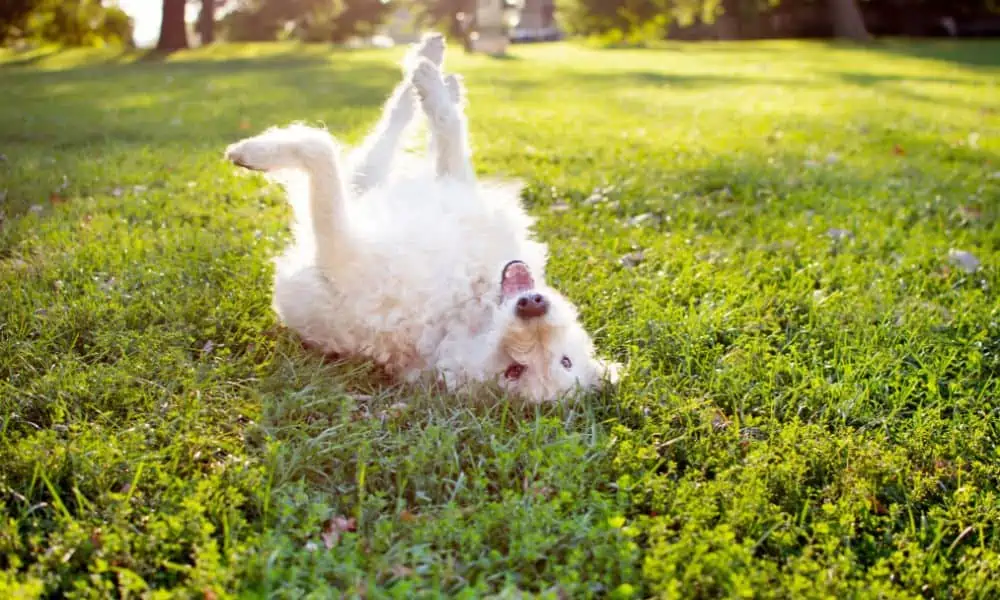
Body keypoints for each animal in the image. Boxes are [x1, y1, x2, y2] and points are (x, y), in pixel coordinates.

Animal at [226, 34, 616, 404]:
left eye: (515, 371)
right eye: (565, 360)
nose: (532, 307)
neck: (464, 306)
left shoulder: (339, 249)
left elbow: (321, 148)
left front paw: (254, 153)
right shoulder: (452, 192)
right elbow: (445, 135)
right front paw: (440, 87)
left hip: (360, 191)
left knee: (374, 137)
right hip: (372, 180)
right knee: (396, 122)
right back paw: (434, 62)